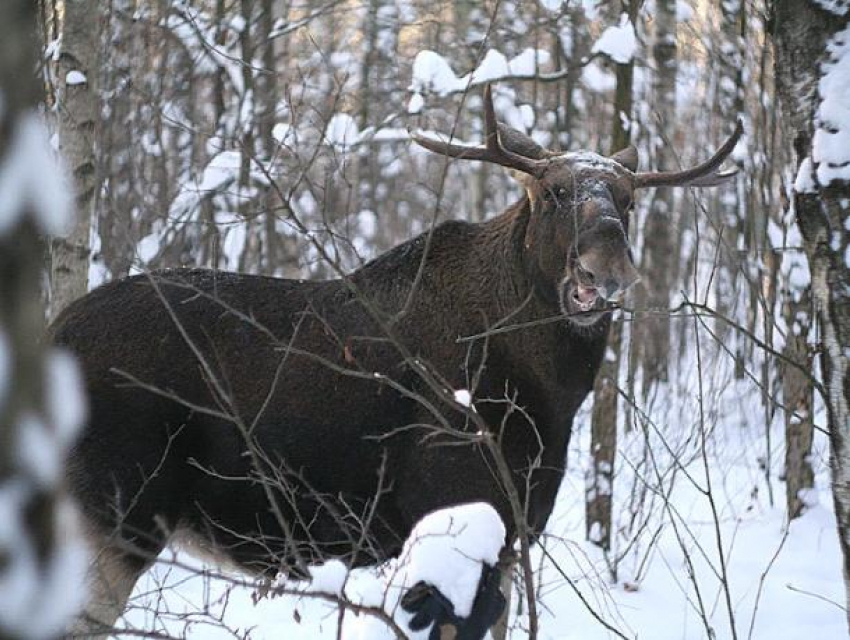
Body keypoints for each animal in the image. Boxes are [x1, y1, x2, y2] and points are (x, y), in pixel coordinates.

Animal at [54, 86, 744, 640]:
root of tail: (52, 333)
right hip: (118, 518)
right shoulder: (453, 521)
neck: (552, 395)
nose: (607, 266)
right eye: (553, 193)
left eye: (628, 201)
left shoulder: (511, 537)